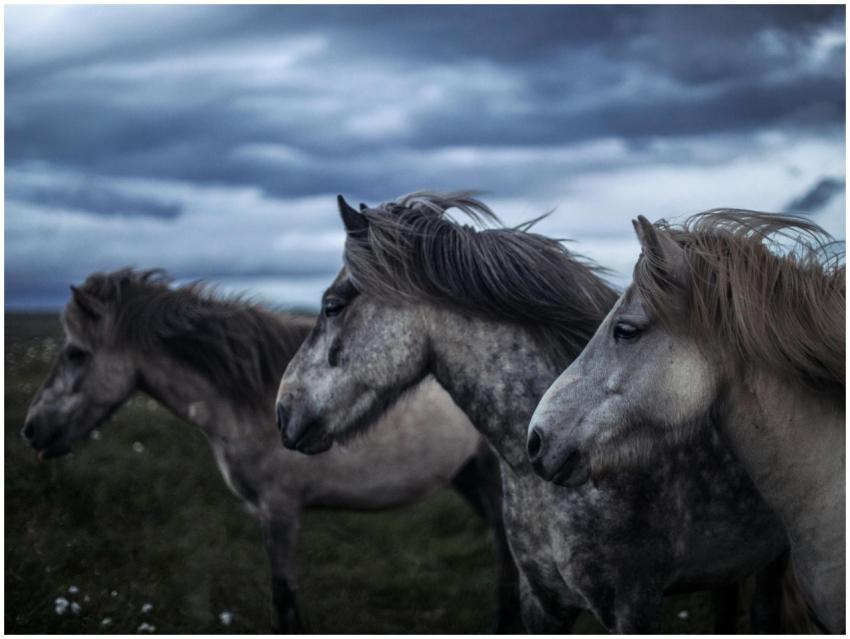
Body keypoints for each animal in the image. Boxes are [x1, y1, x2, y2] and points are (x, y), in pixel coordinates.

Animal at [21, 268, 522, 633]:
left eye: (76, 353)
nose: (31, 430)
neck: (248, 397)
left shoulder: (279, 510)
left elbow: (284, 599)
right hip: (469, 477)